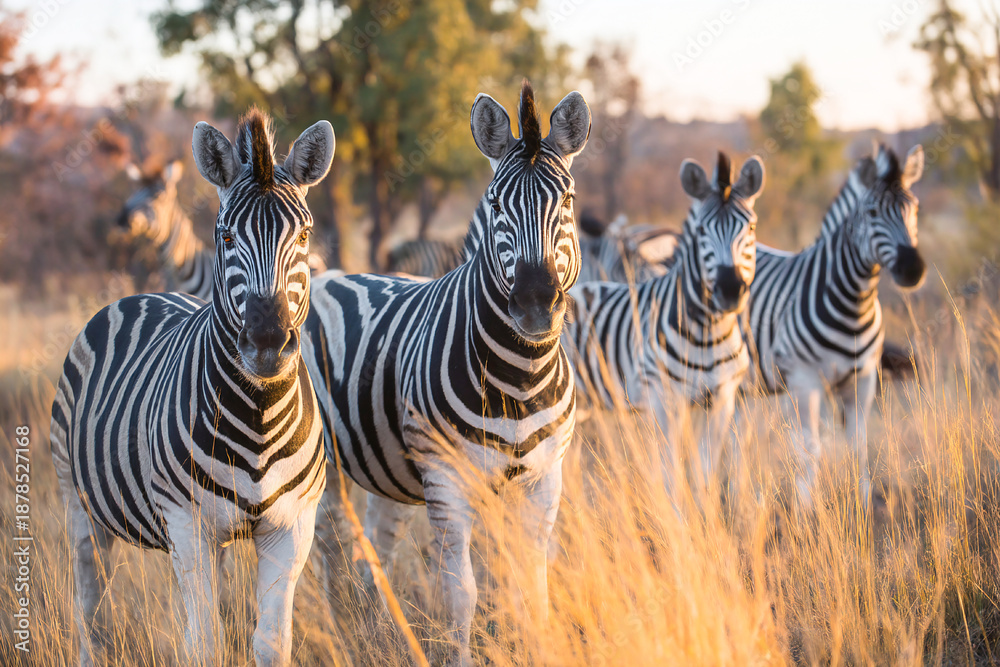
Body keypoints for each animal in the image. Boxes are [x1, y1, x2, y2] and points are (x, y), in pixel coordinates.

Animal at [49, 108, 335, 666]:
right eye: (226, 238)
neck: (260, 412)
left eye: (305, 236)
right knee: (89, 607)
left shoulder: (291, 530)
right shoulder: (186, 525)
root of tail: (140, 295)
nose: (267, 341)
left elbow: (269, 642)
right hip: (79, 504)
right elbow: (204, 643)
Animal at [303, 81, 590, 665]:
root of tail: (329, 274)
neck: (520, 377)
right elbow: (461, 595)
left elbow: (531, 589)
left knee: (377, 546)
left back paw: (381, 630)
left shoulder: (544, 478)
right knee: (331, 548)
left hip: (387, 463)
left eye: (568, 201)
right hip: (329, 463)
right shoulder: (446, 479)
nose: (535, 304)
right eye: (497, 205)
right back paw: (344, 632)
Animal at [564, 152, 764, 492]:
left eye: (750, 226)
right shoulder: (663, 401)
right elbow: (672, 476)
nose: (729, 290)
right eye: (701, 231)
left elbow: (704, 476)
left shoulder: (720, 400)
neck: (708, 331)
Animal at [747, 143, 925, 508]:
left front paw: (863, 508)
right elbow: (810, 448)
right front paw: (805, 511)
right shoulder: (805, 381)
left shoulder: (863, 379)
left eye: (914, 208)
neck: (853, 303)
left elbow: (858, 445)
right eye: (872, 213)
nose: (913, 269)